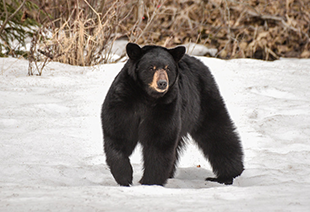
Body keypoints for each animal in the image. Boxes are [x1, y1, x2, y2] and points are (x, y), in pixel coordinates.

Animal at [100, 42, 243, 186]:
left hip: (202, 102)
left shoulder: (166, 106)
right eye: (151, 68)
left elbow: (159, 140)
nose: (162, 83)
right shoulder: (123, 101)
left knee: (217, 131)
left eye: (168, 68)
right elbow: (118, 135)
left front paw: (150, 181)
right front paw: (125, 177)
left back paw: (228, 174)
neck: (147, 97)